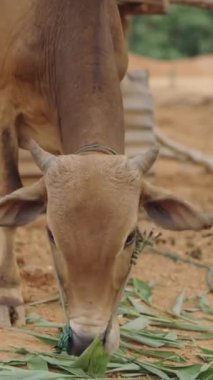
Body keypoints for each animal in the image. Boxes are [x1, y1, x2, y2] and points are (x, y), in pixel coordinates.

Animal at [0, 0, 211, 356]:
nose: (86, 341)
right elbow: (8, 190)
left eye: (130, 237)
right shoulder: (3, 112)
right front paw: (9, 297)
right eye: (51, 235)